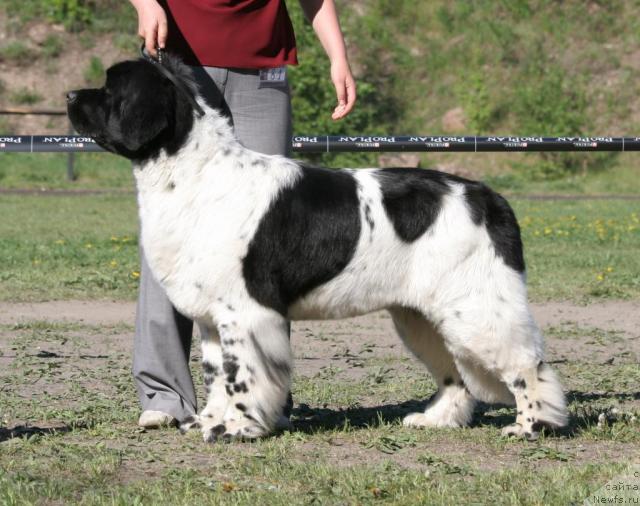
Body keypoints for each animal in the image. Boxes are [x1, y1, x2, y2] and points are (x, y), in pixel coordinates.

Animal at [67, 54, 568, 442]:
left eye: (111, 89)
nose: (70, 95)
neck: (192, 172)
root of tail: (487, 197)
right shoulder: (212, 317)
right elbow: (216, 375)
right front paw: (208, 422)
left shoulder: (245, 310)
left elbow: (241, 375)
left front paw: (238, 428)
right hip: (421, 316)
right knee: (454, 374)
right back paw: (435, 420)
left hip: (476, 307)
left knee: (528, 364)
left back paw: (532, 426)